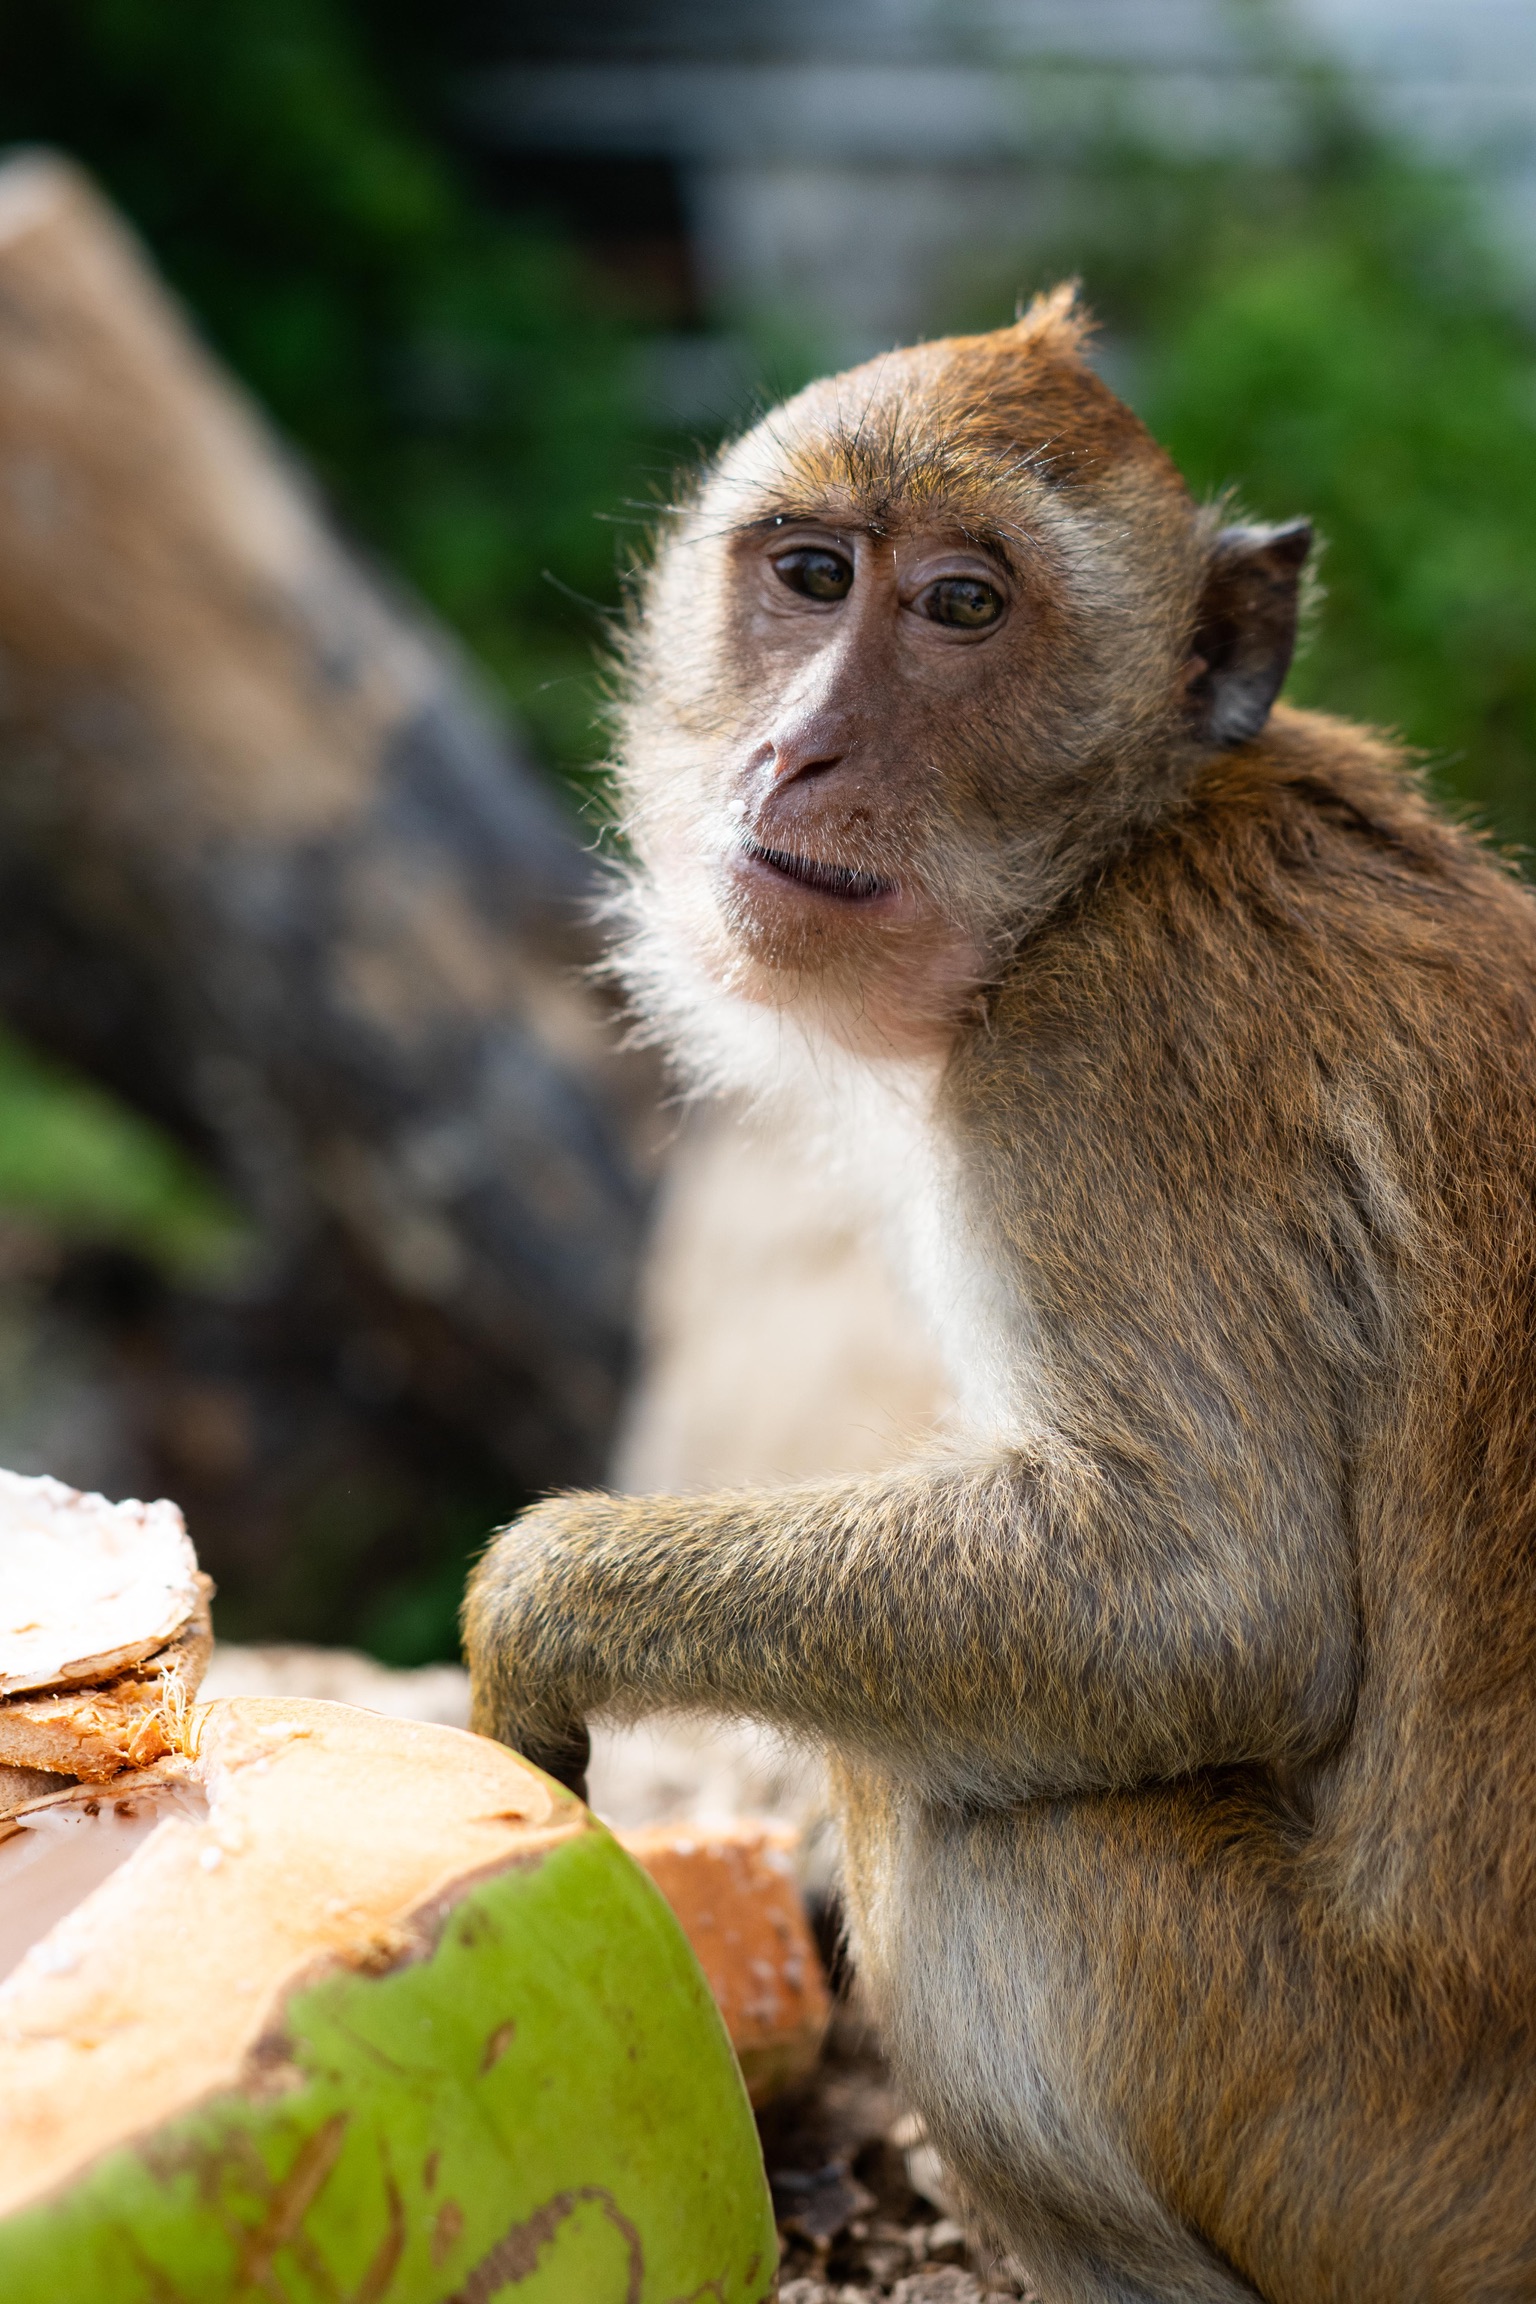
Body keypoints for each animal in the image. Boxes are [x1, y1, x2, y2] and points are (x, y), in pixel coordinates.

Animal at [463, 284, 1536, 2303]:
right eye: (812, 573)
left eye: (965, 606)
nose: (797, 752)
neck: (1117, 852)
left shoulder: (1102, 1059)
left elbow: (1207, 1591)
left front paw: (539, 1614)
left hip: (1366, 2132)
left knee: (973, 1828)